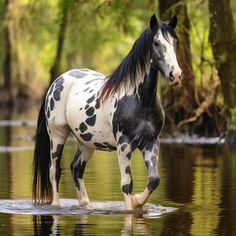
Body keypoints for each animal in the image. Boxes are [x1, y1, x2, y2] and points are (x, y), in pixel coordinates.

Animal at [32, 14, 182, 210]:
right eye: (156, 42)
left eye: (175, 41)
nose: (176, 75)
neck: (140, 101)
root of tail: (57, 81)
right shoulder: (124, 144)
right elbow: (127, 183)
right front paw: (130, 208)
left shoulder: (151, 142)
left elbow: (154, 180)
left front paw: (137, 201)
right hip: (57, 135)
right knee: (54, 170)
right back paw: (56, 204)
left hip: (86, 142)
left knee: (76, 168)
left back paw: (85, 204)